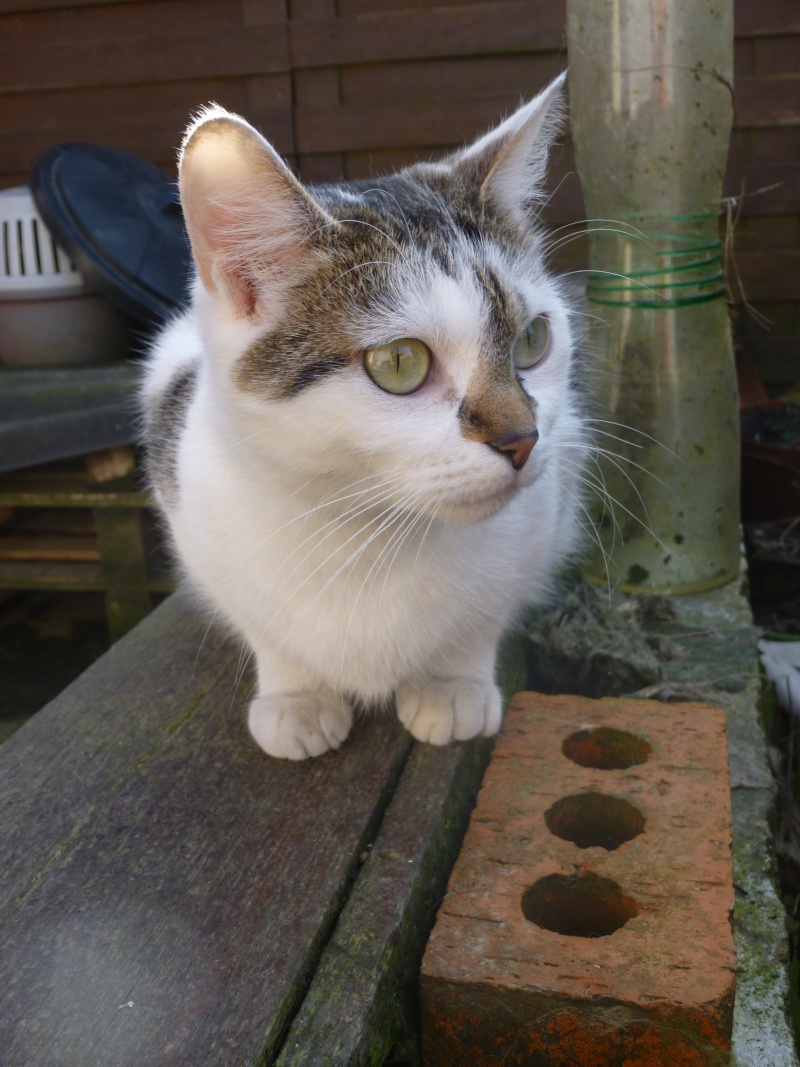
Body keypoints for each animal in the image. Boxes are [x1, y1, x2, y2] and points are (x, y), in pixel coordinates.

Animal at [142, 70, 588, 759]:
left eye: (533, 340)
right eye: (399, 363)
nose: (523, 439)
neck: (365, 534)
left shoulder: (546, 512)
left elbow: (484, 616)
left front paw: (451, 685)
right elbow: (264, 628)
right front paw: (296, 696)